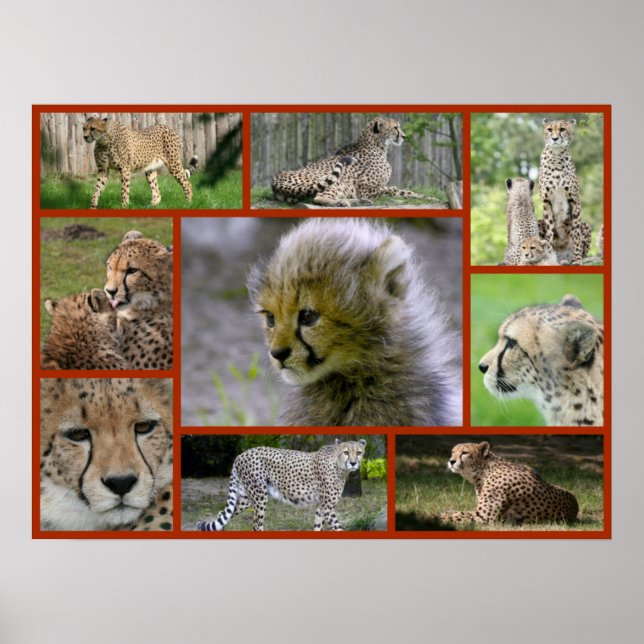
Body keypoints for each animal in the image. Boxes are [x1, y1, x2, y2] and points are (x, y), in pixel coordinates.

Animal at [196, 439, 367, 532]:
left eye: (359, 452)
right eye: (346, 452)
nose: (353, 463)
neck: (339, 466)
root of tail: (241, 455)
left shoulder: (321, 508)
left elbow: (318, 527)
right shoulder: (327, 507)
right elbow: (338, 528)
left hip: (246, 498)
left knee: (222, 515)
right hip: (260, 497)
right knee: (256, 526)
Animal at [271, 116, 425, 207]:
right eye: (395, 127)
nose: (404, 136)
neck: (379, 146)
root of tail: (276, 180)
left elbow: (404, 191)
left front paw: (423, 196)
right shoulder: (365, 189)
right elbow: (389, 190)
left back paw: (356, 201)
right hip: (333, 182)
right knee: (318, 198)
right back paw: (344, 202)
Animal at [439, 441, 579, 526]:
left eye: (464, 453)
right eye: (453, 452)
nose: (451, 461)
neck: (484, 472)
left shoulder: (484, 518)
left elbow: (455, 516)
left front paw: (439, 517)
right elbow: (458, 512)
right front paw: (445, 512)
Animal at [538, 118, 591, 265]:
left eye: (562, 129)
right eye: (550, 129)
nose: (555, 138)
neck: (556, 156)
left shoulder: (575, 200)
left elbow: (576, 233)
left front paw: (577, 259)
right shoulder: (546, 201)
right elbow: (550, 231)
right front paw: (548, 256)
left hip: (586, 226)